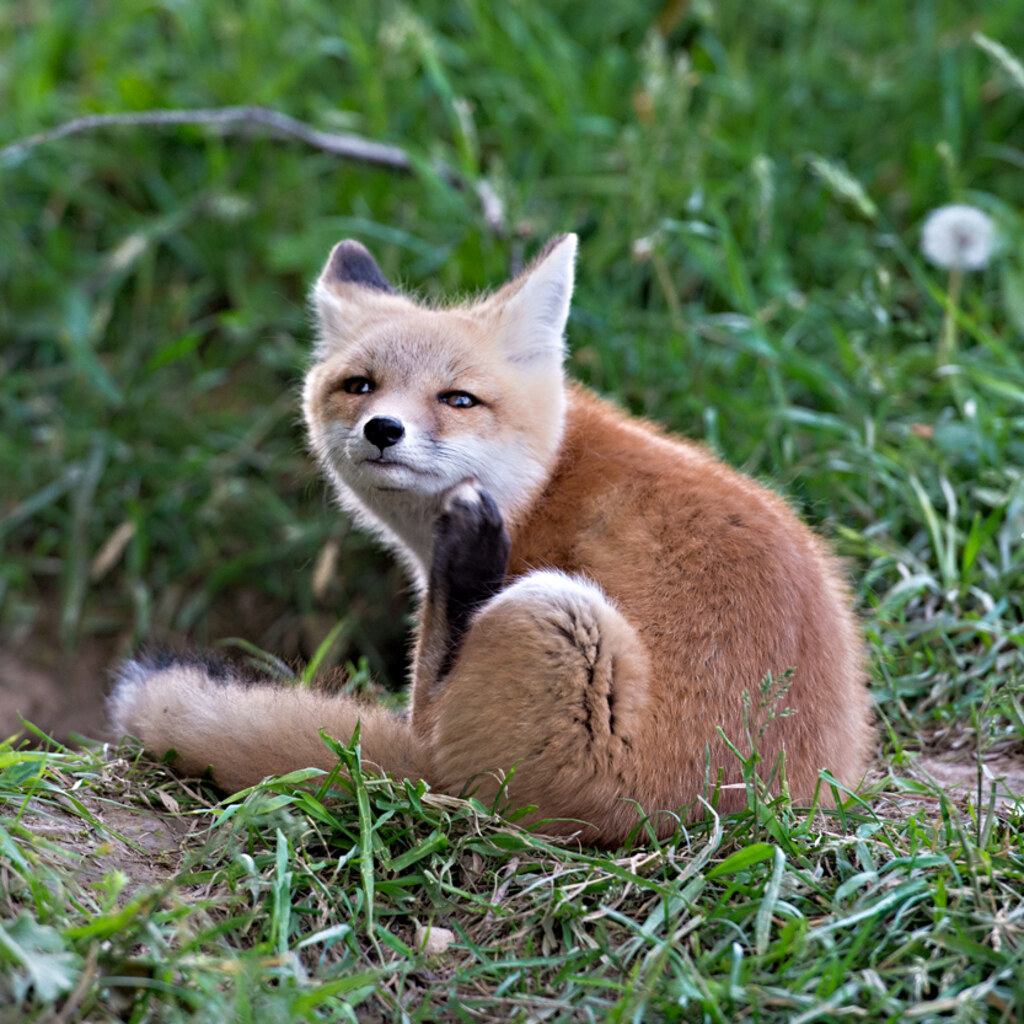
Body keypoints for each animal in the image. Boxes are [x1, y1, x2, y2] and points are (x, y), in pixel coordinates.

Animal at [110, 233, 873, 846]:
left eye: (457, 399)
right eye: (360, 386)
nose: (383, 430)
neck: (543, 481)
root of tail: (711, 808)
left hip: (553, 616)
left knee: (436, 745)